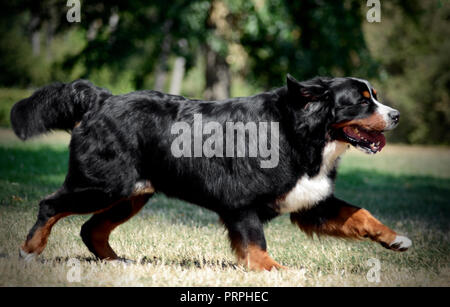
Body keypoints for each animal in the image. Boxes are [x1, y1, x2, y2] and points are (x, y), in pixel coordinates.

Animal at [10, 75, 412, 272]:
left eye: (374, 96)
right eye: (361, 101)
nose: (396, 115)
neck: (299, 131)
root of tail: (103, 99)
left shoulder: (309, 202)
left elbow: (360, 214)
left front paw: (395, 238)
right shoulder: (241, 204)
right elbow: (256, 246)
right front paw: (277, 270)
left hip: (130, 194)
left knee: (91, 228)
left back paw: (116, 263)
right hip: (103, 185)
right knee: (50, 206)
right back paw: (30, 252)